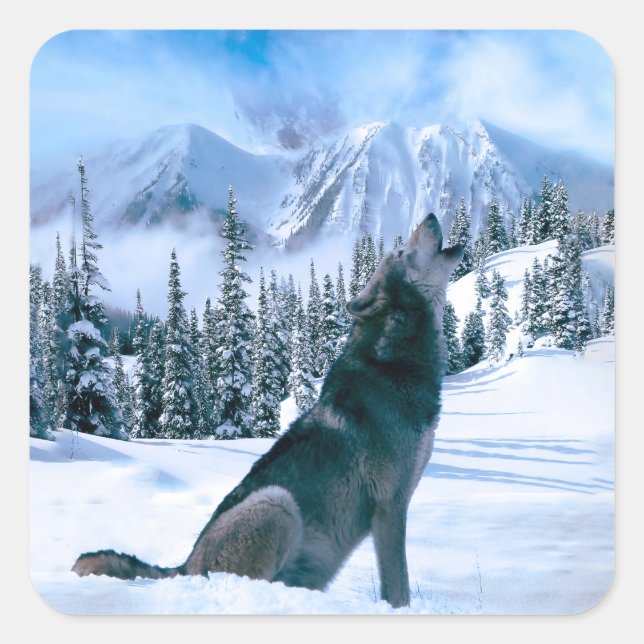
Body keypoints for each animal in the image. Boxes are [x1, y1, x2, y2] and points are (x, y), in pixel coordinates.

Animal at [72, 213, 463, 608]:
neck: (394, 363)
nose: (430, 215)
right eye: (401, 251)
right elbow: (398, 588)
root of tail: (183, 567)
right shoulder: (390, 506)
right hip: (277, 503)